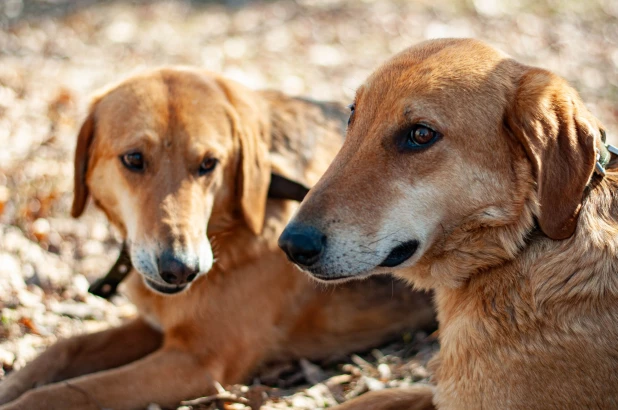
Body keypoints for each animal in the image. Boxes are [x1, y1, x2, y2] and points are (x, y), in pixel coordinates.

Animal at [0, 68, 434, 410]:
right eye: (133, 159)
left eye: (209, 164)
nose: (181, 269)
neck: (228, 229)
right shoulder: (159, 327)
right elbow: (62, 349)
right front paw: (11, 385)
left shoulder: (197, 362)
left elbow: (67, 392)